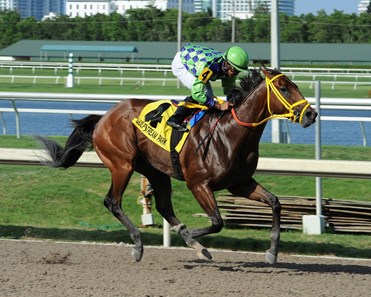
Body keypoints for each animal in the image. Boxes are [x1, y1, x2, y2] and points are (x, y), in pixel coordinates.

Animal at [37, 66, 316, 264]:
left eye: (295, 85)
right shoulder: (198, 183)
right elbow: (217, 221)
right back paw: (139, 245)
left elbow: (275, 203)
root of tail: (104, 117)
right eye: (283, 87)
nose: (312, 114)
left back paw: (192, 243)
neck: (230, 133)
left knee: (163, 206)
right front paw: (191, 235)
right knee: (113, 202)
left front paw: (272, 252)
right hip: (121, 164)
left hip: (156, 171)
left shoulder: (240, 184)